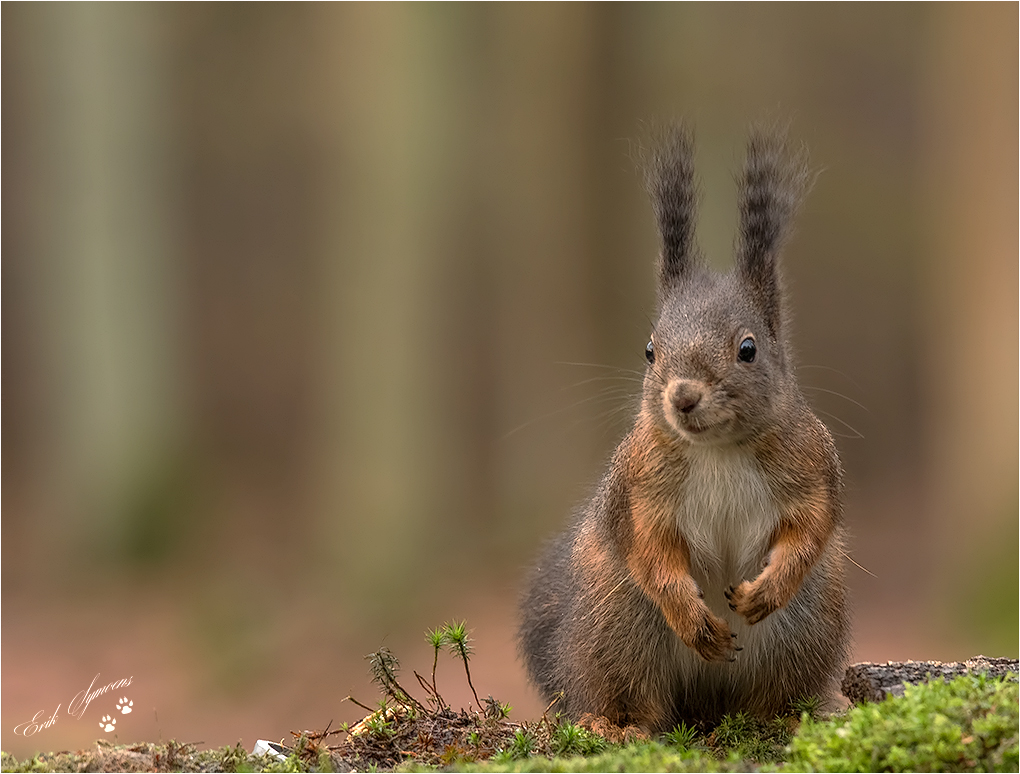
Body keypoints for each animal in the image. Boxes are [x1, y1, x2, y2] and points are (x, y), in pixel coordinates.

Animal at [518, 122, 852, 734]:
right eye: (650, 349)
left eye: (748, 349)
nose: (683, 396)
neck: (718, 449)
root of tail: (707, 703)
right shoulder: (638, 488)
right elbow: (651, 551)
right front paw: (692, 616)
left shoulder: (813, 465)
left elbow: (811, 528)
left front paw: (766, 589)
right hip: (618, 624)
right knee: (633, 693)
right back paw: (617, 723)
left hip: (806, 628)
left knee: (773, 691)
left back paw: (783, 717)